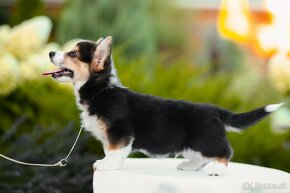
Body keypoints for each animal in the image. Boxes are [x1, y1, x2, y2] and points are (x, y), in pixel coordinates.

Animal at [43, 36, 284, 176]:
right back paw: (189, 166)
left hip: (205, 140)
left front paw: (106, 166)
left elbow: (113, 152)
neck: (101, 90)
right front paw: (110, 164)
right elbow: (111, 152)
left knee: (225, 152)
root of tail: (216, 110)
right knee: (201, 158)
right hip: (194, 144)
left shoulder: (119, 133)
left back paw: (217, 170)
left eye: (73, 53)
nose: (51, 52)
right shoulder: (112, 137)